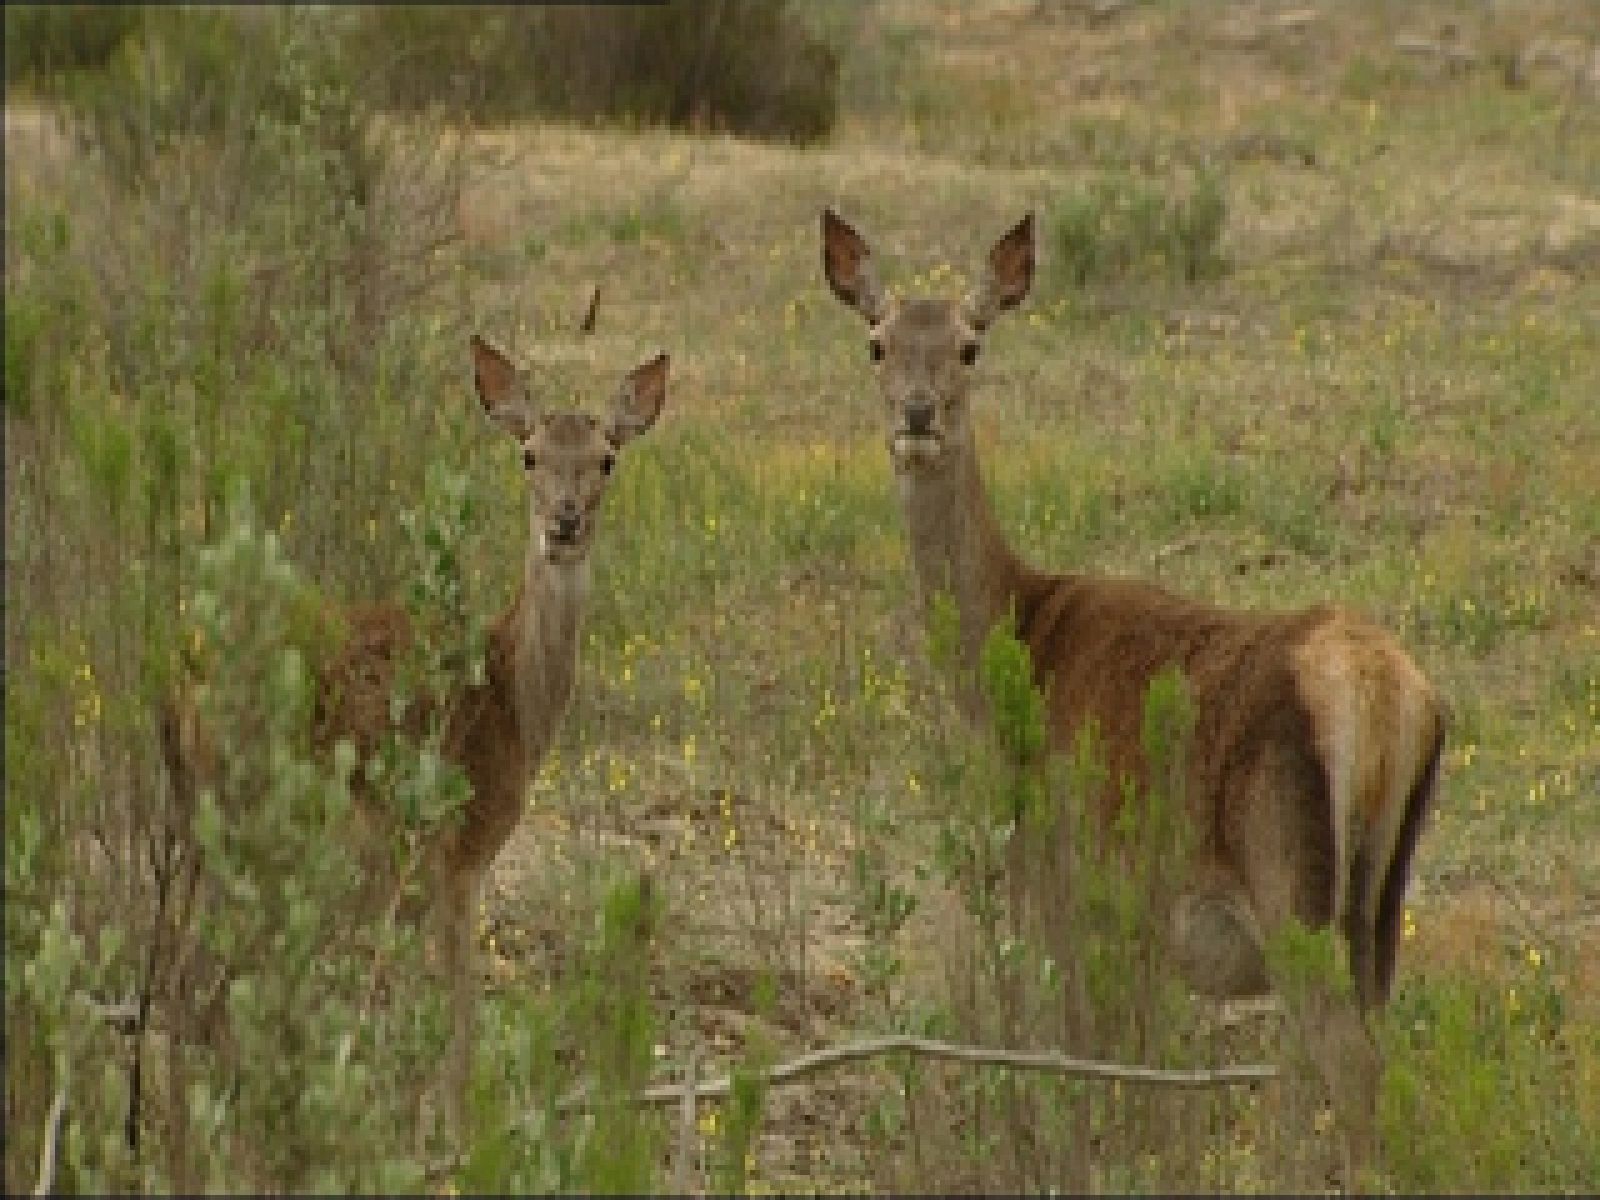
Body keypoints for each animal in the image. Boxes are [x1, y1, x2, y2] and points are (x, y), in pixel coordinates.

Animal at [157, 326, 668, 1145]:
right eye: (528, 453)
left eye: (606, 459)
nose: (563, 523)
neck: (511, 706)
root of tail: (177, 682)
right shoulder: (455, 851)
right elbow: (456, 1022)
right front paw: (460, 1145)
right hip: (265, 821)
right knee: (205, 986)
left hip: (200, 827)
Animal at [825, 204, 1452, 1177]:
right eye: (877, 342)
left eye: (970, 345)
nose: (918, 414)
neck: (1019, 636)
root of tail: (1387, 692)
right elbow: (1143, 1057)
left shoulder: (1058, 867)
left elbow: (1082, 1046)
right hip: (1381, 897)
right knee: (1366, 1046)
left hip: (1287, 870)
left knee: (1344, 1058)